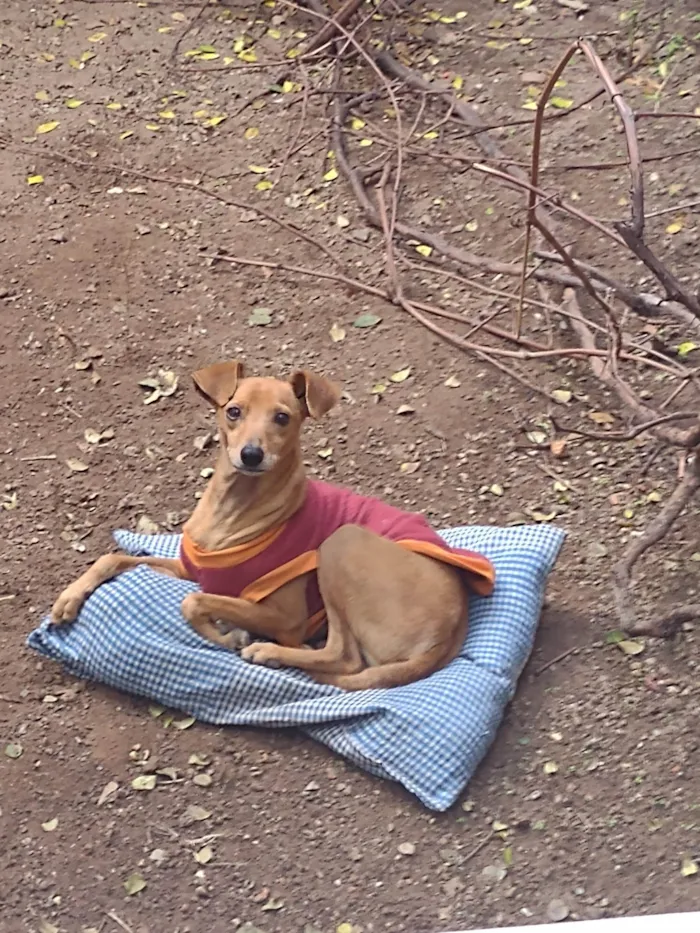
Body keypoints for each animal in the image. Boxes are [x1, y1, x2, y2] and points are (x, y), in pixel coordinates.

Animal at [52, 360, 494, 688]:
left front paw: (228, 636)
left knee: (345, 658)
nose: (251, 454)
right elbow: (114, 558)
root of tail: (454, 627)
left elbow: (192, 602)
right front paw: (69, 598)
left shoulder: (284, 617)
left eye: (283, 418)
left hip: (341, 542)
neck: (233, 507)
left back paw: (271, 654)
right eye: (233, 411)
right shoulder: (191, 570)